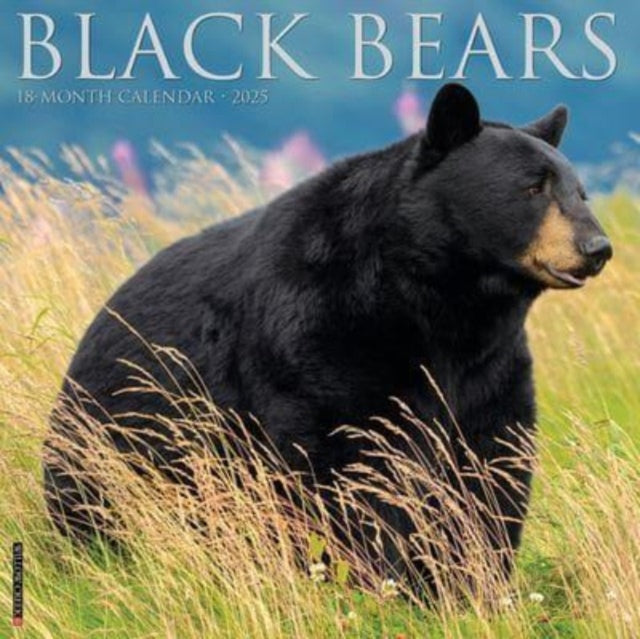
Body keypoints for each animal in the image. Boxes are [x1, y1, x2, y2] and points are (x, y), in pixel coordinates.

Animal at [43, 84, 612, 593]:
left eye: (579, 191)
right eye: (533, 187)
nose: (597, 247)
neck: (439, 300)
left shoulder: (489, 365)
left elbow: (489, 464)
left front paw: (473, 582)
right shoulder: (322, 334)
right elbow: (347, 463)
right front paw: (377, 579)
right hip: (118, 439)